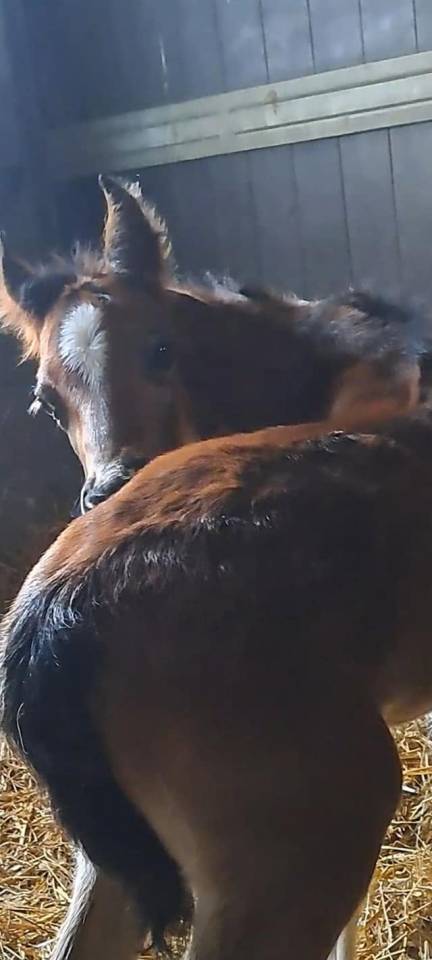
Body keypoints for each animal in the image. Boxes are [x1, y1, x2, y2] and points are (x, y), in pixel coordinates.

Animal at [0, 176, 431, 960]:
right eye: (47, 402)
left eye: (162, 349)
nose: (110, 483)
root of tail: (56, 613)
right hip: (302, 845)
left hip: (114, 853)